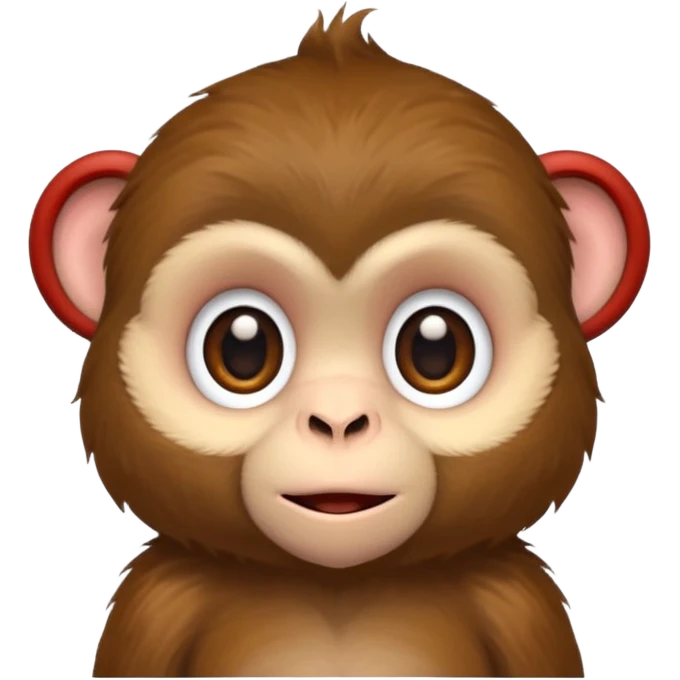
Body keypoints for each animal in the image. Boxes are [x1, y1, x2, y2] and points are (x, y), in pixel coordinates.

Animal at [28, 5, 651, 678]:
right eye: (243, 348)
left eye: (434, 349)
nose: (338, 420)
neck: (338, 587)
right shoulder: (156, 606)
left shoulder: (521, 608)